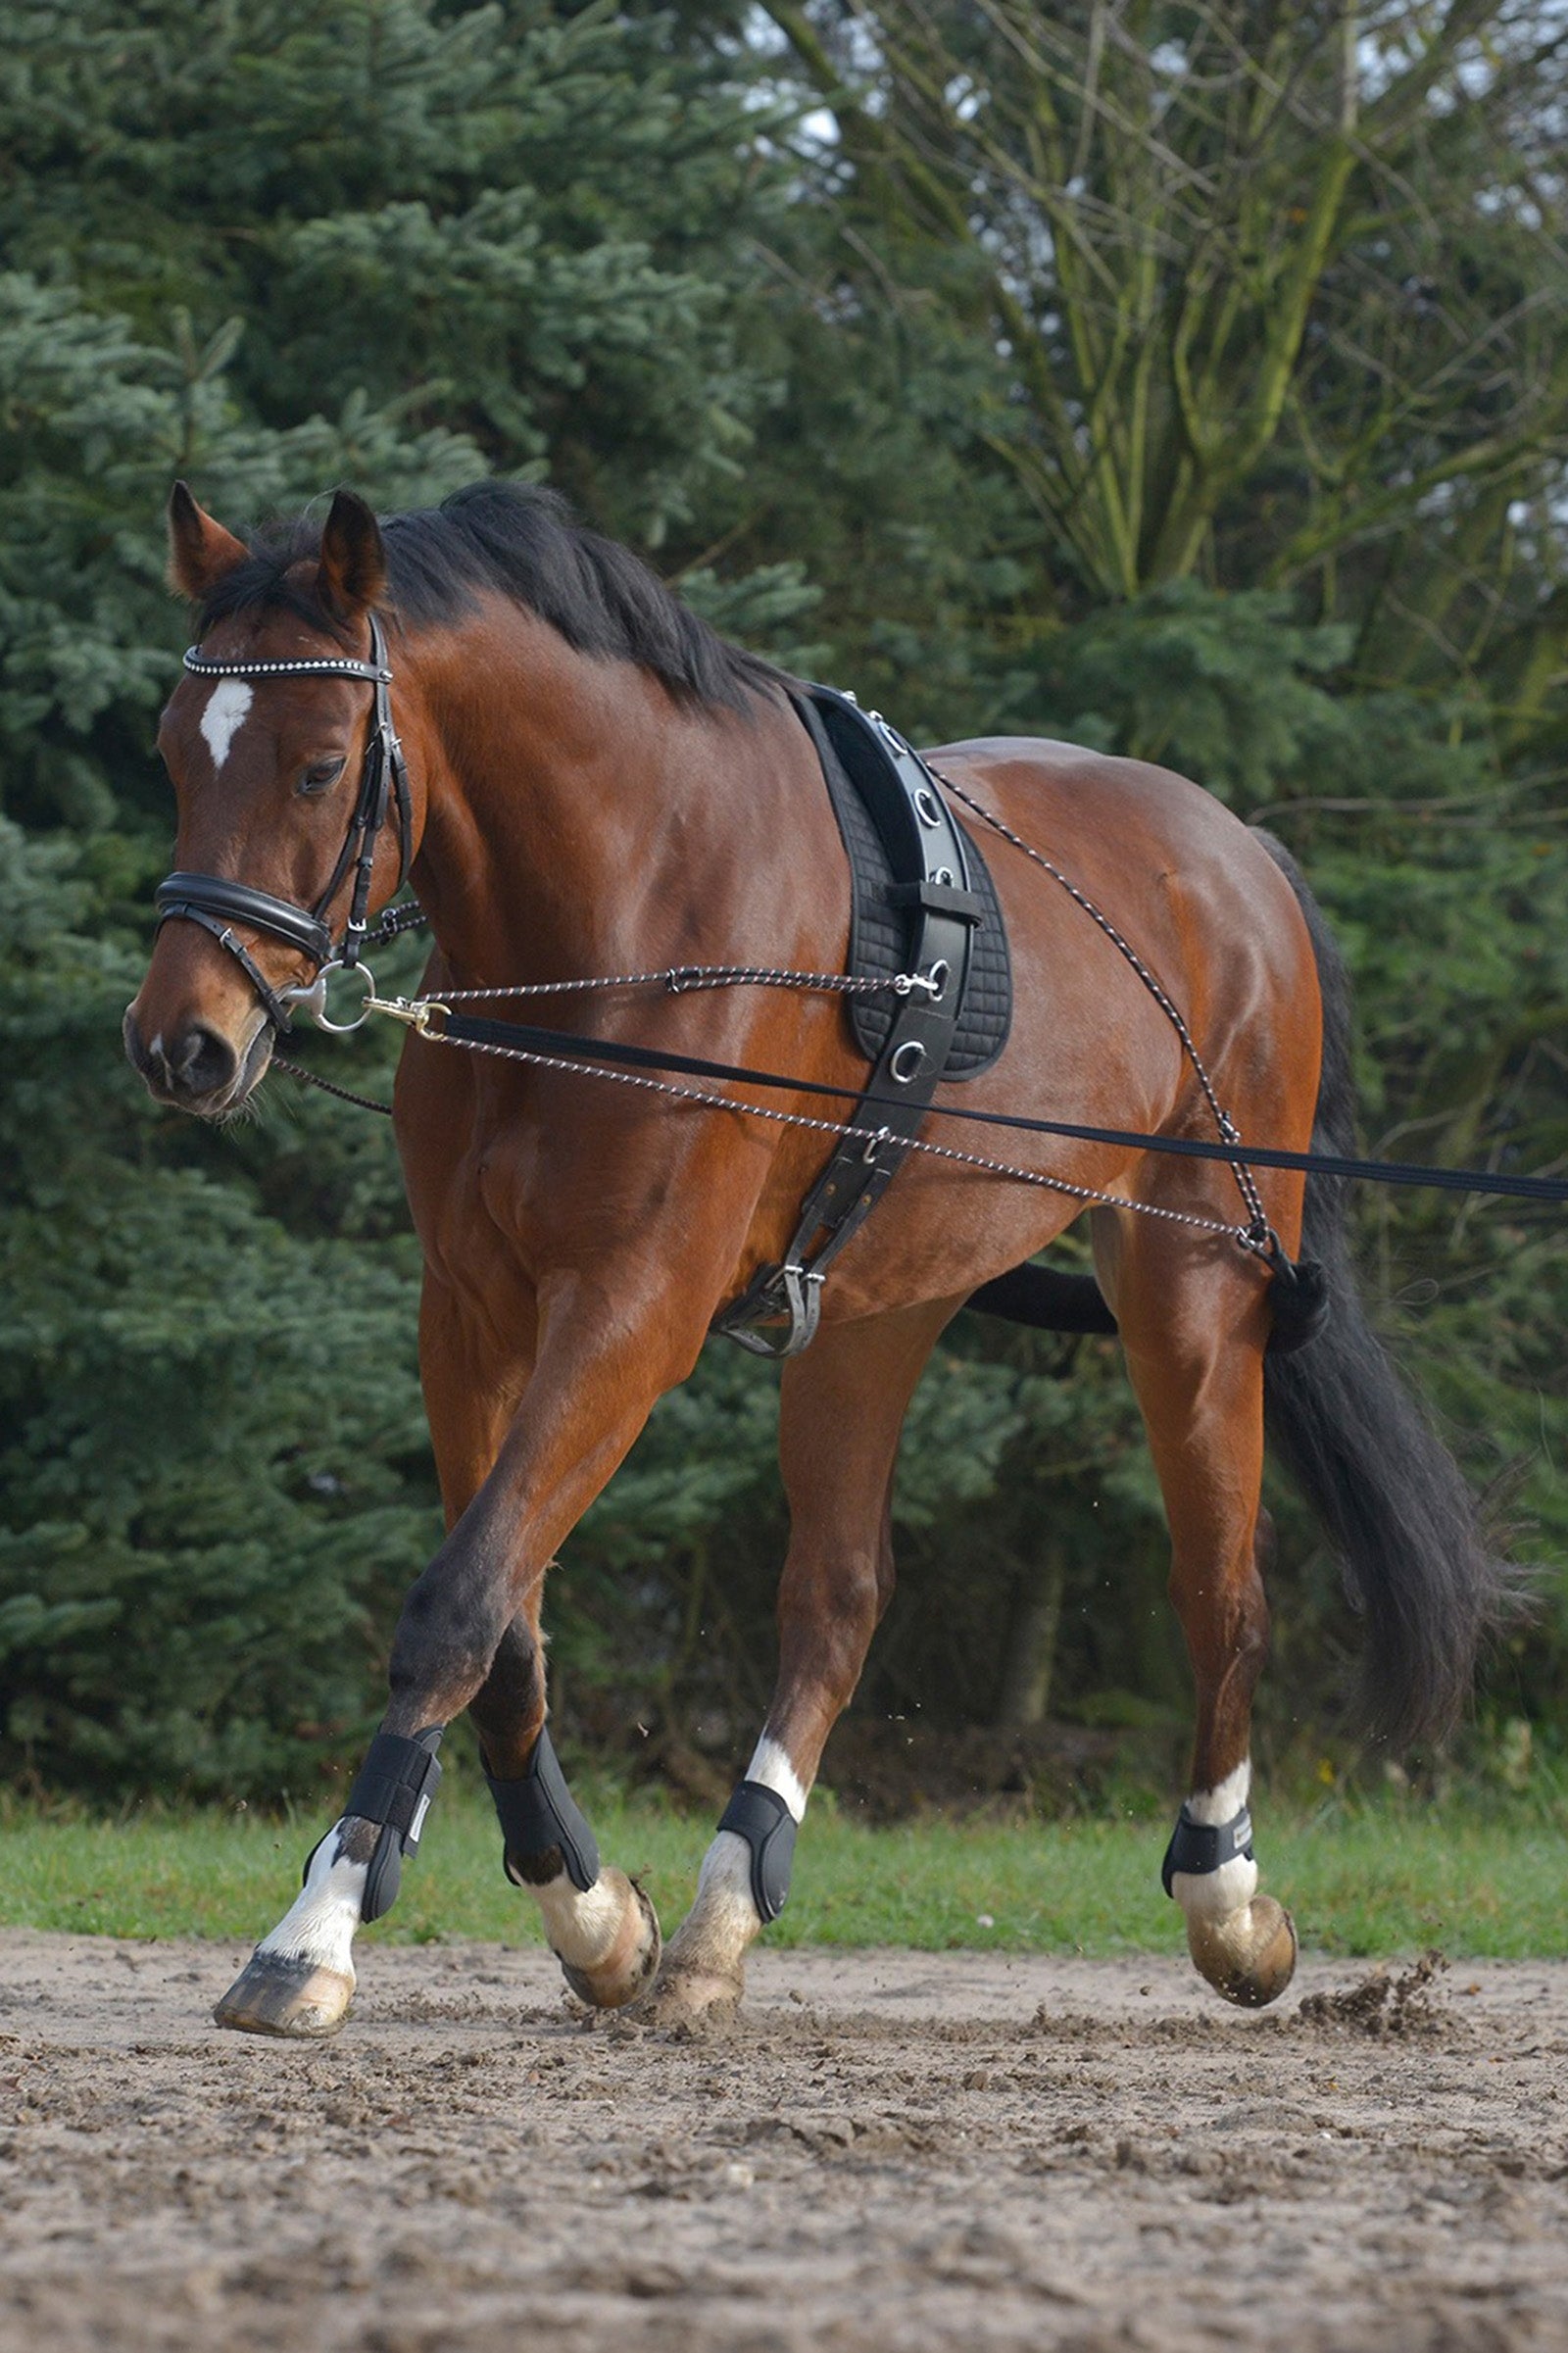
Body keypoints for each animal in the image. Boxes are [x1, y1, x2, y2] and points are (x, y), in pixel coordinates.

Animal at [125, 478, 1508, 2038]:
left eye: (316, 766)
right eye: (174, 749)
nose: (182, 1043)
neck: (620, 909)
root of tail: (1240, 855)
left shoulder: (633, 1308)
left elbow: (458, 1605)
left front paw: (314, 1931)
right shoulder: (471, 1308)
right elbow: (509, 1623)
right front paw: (591, 1915)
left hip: (1191, 1291)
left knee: (1221, 1591)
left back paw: (1227, 1901)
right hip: (871, 1308)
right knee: (837, 1600)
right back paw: (725, 1911)